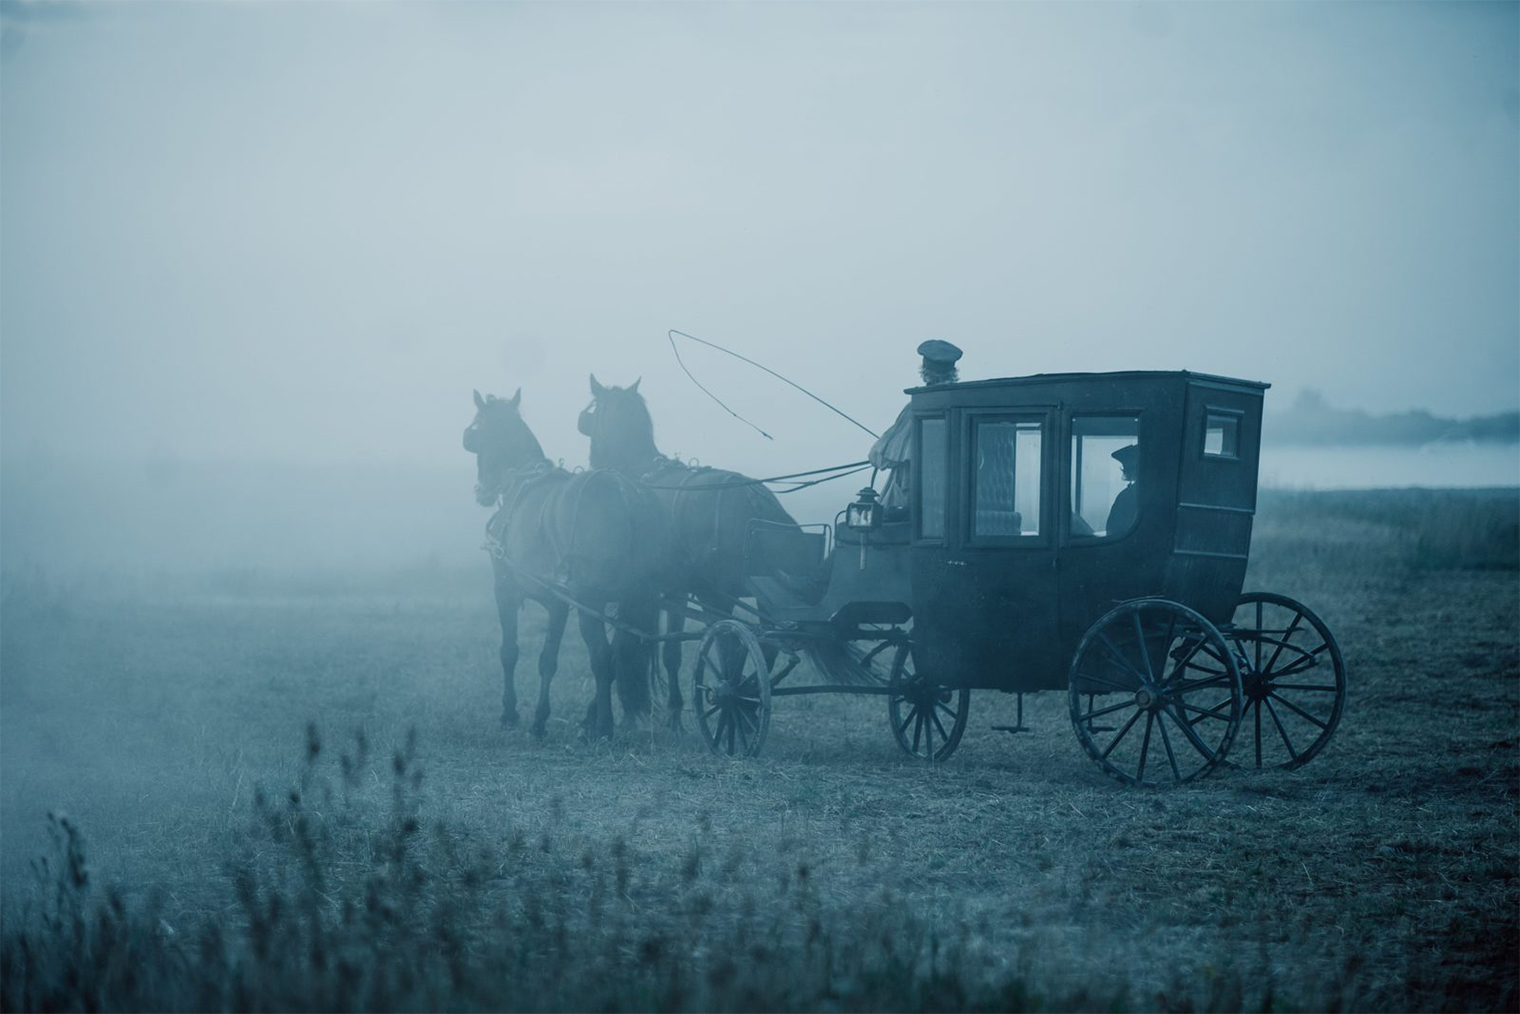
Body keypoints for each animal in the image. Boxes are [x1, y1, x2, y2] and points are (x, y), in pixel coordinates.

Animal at [462, 389, 665, 738]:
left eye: (477, 434)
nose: (481, 491)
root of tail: (625, 495)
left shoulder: (504, 587)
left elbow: (509, 651)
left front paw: (509, 713)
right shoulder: (558, 600)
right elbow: (548, 659)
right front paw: (540, 719)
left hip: (590, 600)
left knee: (602, 656)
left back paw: (602, 727)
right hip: (629, 599)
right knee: (622, 651)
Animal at [577, 377, 796, 726]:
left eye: (594, 410)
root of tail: (754, 498)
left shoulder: (637, 592)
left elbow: (625, 645)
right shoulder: (674, 591)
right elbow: (670, 652)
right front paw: (674, 714)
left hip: (716, 595)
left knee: (729, 644)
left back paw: (732, 697)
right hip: (766, 596)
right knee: (768, 644)